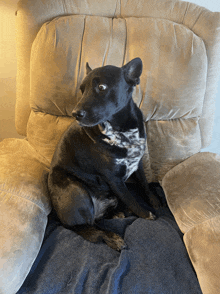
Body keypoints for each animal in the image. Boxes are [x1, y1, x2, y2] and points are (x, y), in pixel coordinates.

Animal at [47, 57, 160, 250]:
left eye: (101, 87)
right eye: (82, 90)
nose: (75, 114)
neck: (122, 130)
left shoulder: (137, 164)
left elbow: (145, 185)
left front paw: (154, 201)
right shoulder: (114, 178)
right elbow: (131, 198)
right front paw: (146, 214)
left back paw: (116, 214)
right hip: (75, 188)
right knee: (86, 226)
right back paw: (111, 237)